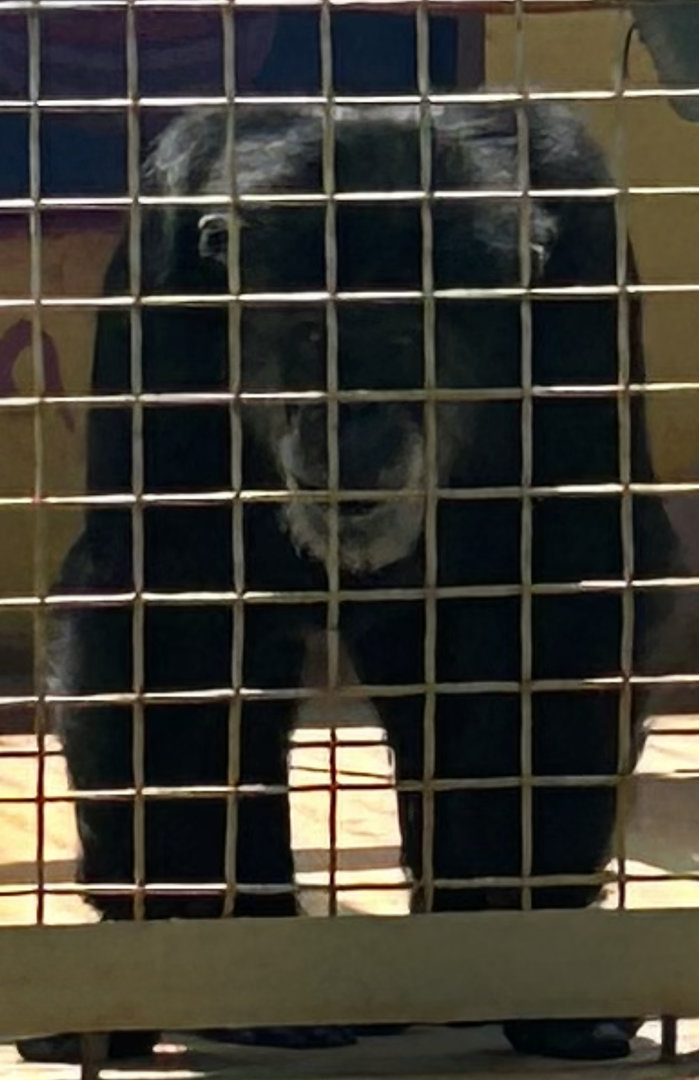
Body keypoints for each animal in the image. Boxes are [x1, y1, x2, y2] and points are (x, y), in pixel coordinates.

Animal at [18, 101, 683, 1064]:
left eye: (403, 341)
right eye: (311, 339)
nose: (349, 414)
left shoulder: (583, 265)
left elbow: (567, 570)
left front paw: (528, 950)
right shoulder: (164, 263)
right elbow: (170, 585)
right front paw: (218, 958)